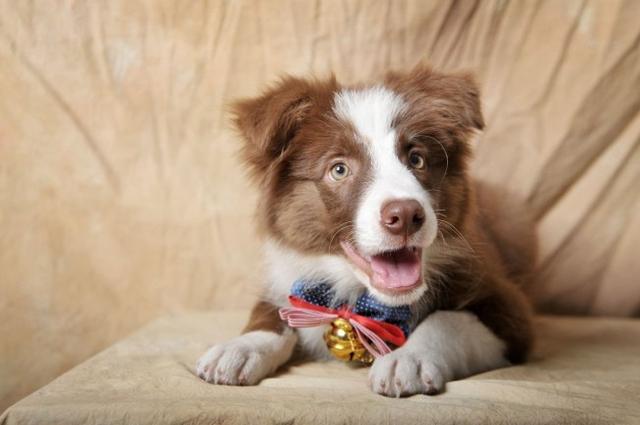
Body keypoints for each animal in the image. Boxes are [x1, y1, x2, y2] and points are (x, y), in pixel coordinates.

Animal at [195, 64, 536, 396]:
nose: (405, 215)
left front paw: (408, 358)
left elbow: (447, 320)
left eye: (417, 159)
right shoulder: (289, 279)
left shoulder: (508, 306)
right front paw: (239, 348)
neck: (362, 295)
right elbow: (272, 313)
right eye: (339, 169)